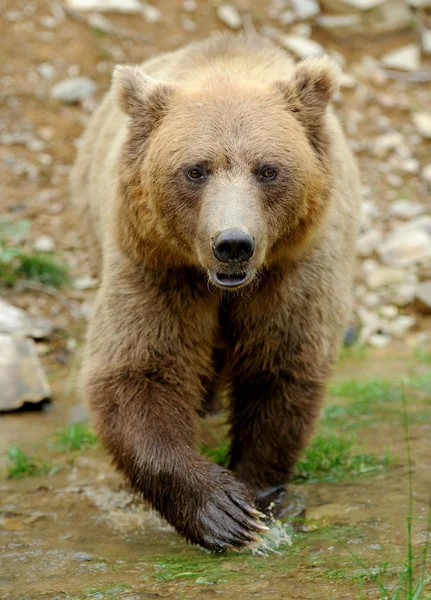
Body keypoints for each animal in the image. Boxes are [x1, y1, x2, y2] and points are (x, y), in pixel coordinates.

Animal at [71, 31, 362, 548]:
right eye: (195, 169)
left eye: (268, 169)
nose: (233, 244)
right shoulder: (158, 268)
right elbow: (137, 370)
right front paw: (222, 511)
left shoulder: (293, 272)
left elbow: (281, 369)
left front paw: (260, 494)